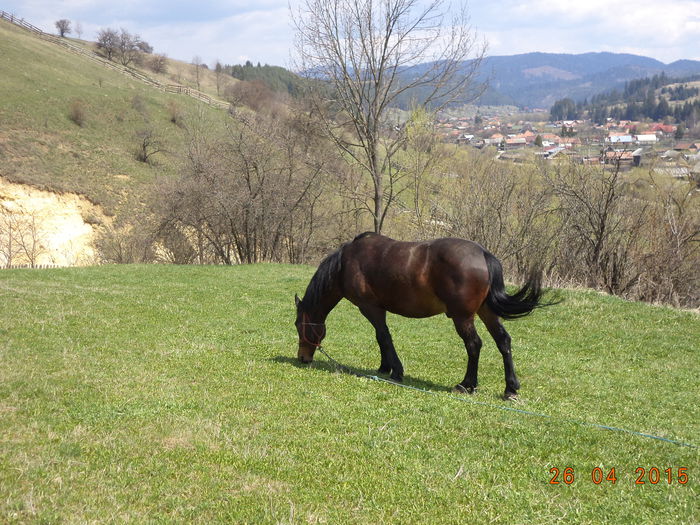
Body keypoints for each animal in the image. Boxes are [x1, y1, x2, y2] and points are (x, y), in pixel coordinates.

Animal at [294, 231, 552, 400]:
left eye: (298, 325)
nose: (302, 358)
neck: (346, 263)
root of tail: (483, 254)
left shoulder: (370, 308)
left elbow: (384, 336)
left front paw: (396, 371)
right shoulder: (377, 309)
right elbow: (381, 338)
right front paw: (384, 368)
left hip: (462, 317)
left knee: (474, 345)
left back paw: (466, 385)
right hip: (486, 312)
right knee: (503, 342)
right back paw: (510, 389)